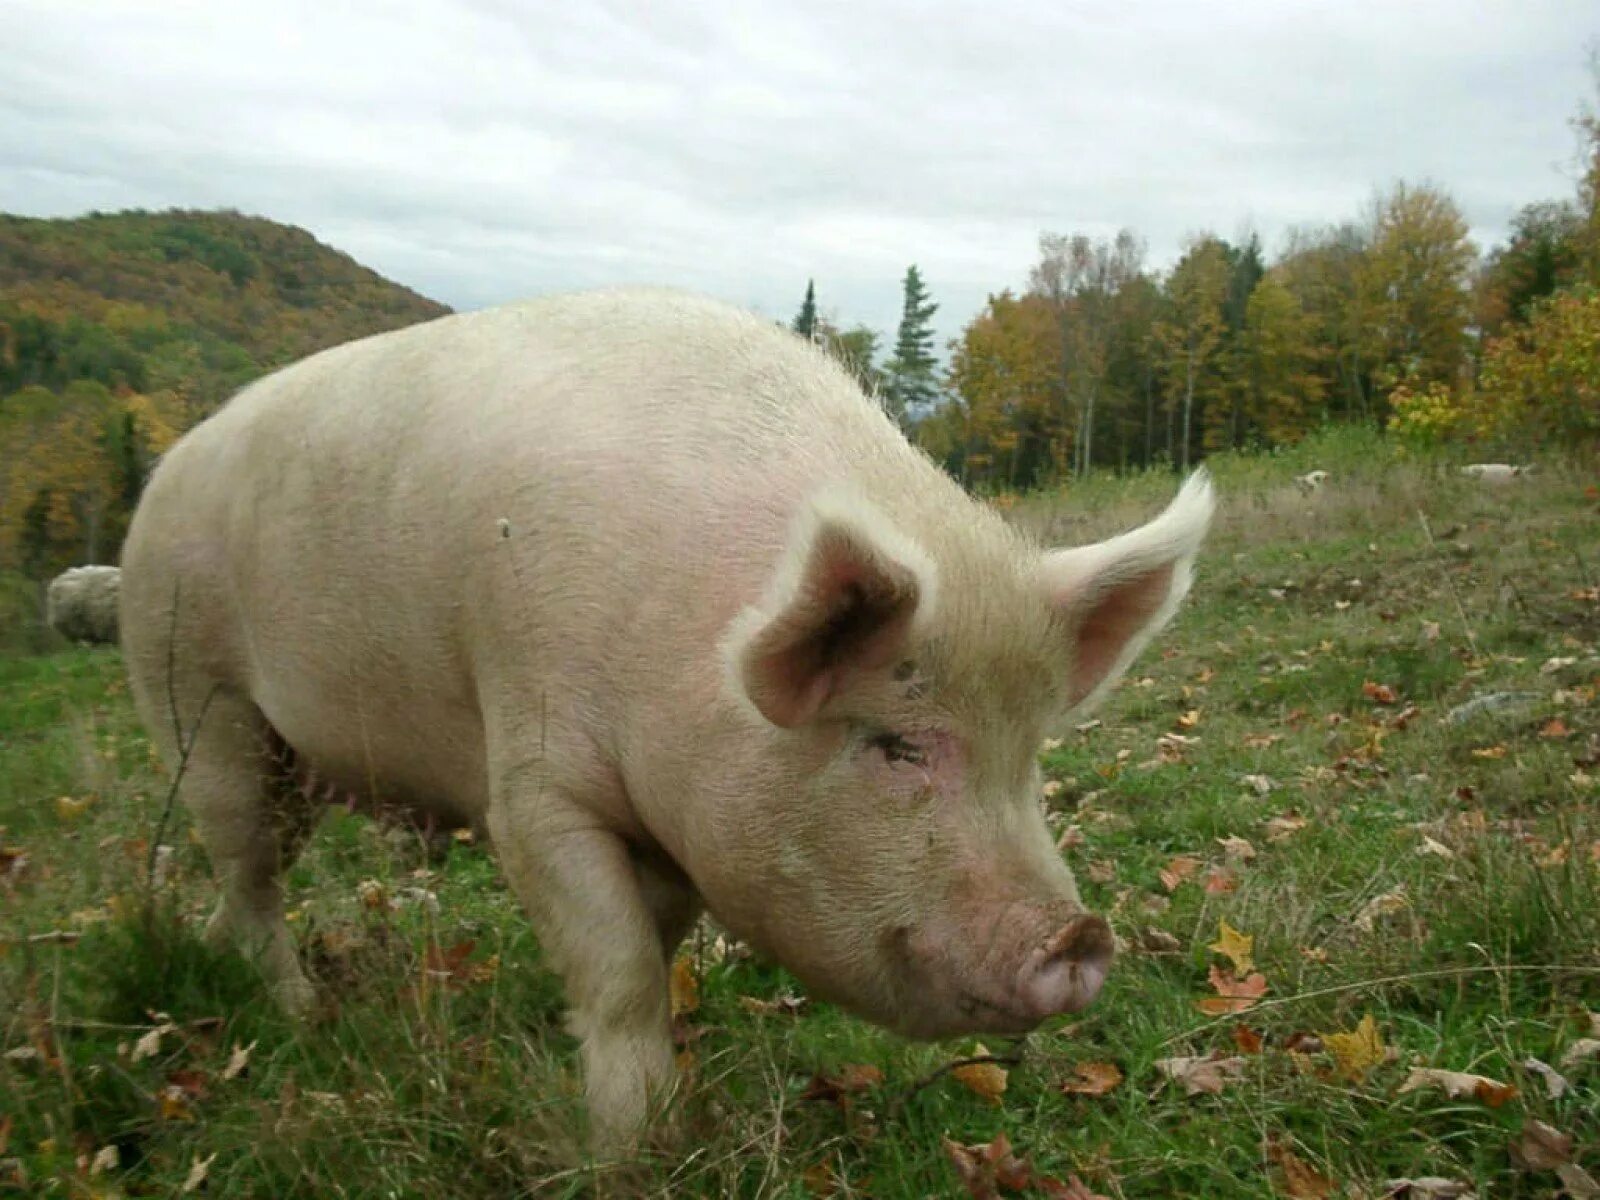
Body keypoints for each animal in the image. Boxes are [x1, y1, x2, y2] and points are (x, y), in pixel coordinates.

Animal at [116, 286, 1209, 1152]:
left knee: (252, 873)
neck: (687, 650)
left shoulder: (677, 824)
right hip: (193, 696)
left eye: (1030, 754)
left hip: (287, 760)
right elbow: (619, 972)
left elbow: (659, 941)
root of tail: (155, 487)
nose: (1077, 937)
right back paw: (302, 1015)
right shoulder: (535, 783)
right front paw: (632, 1148)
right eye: (893, 743)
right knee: (249, 868)